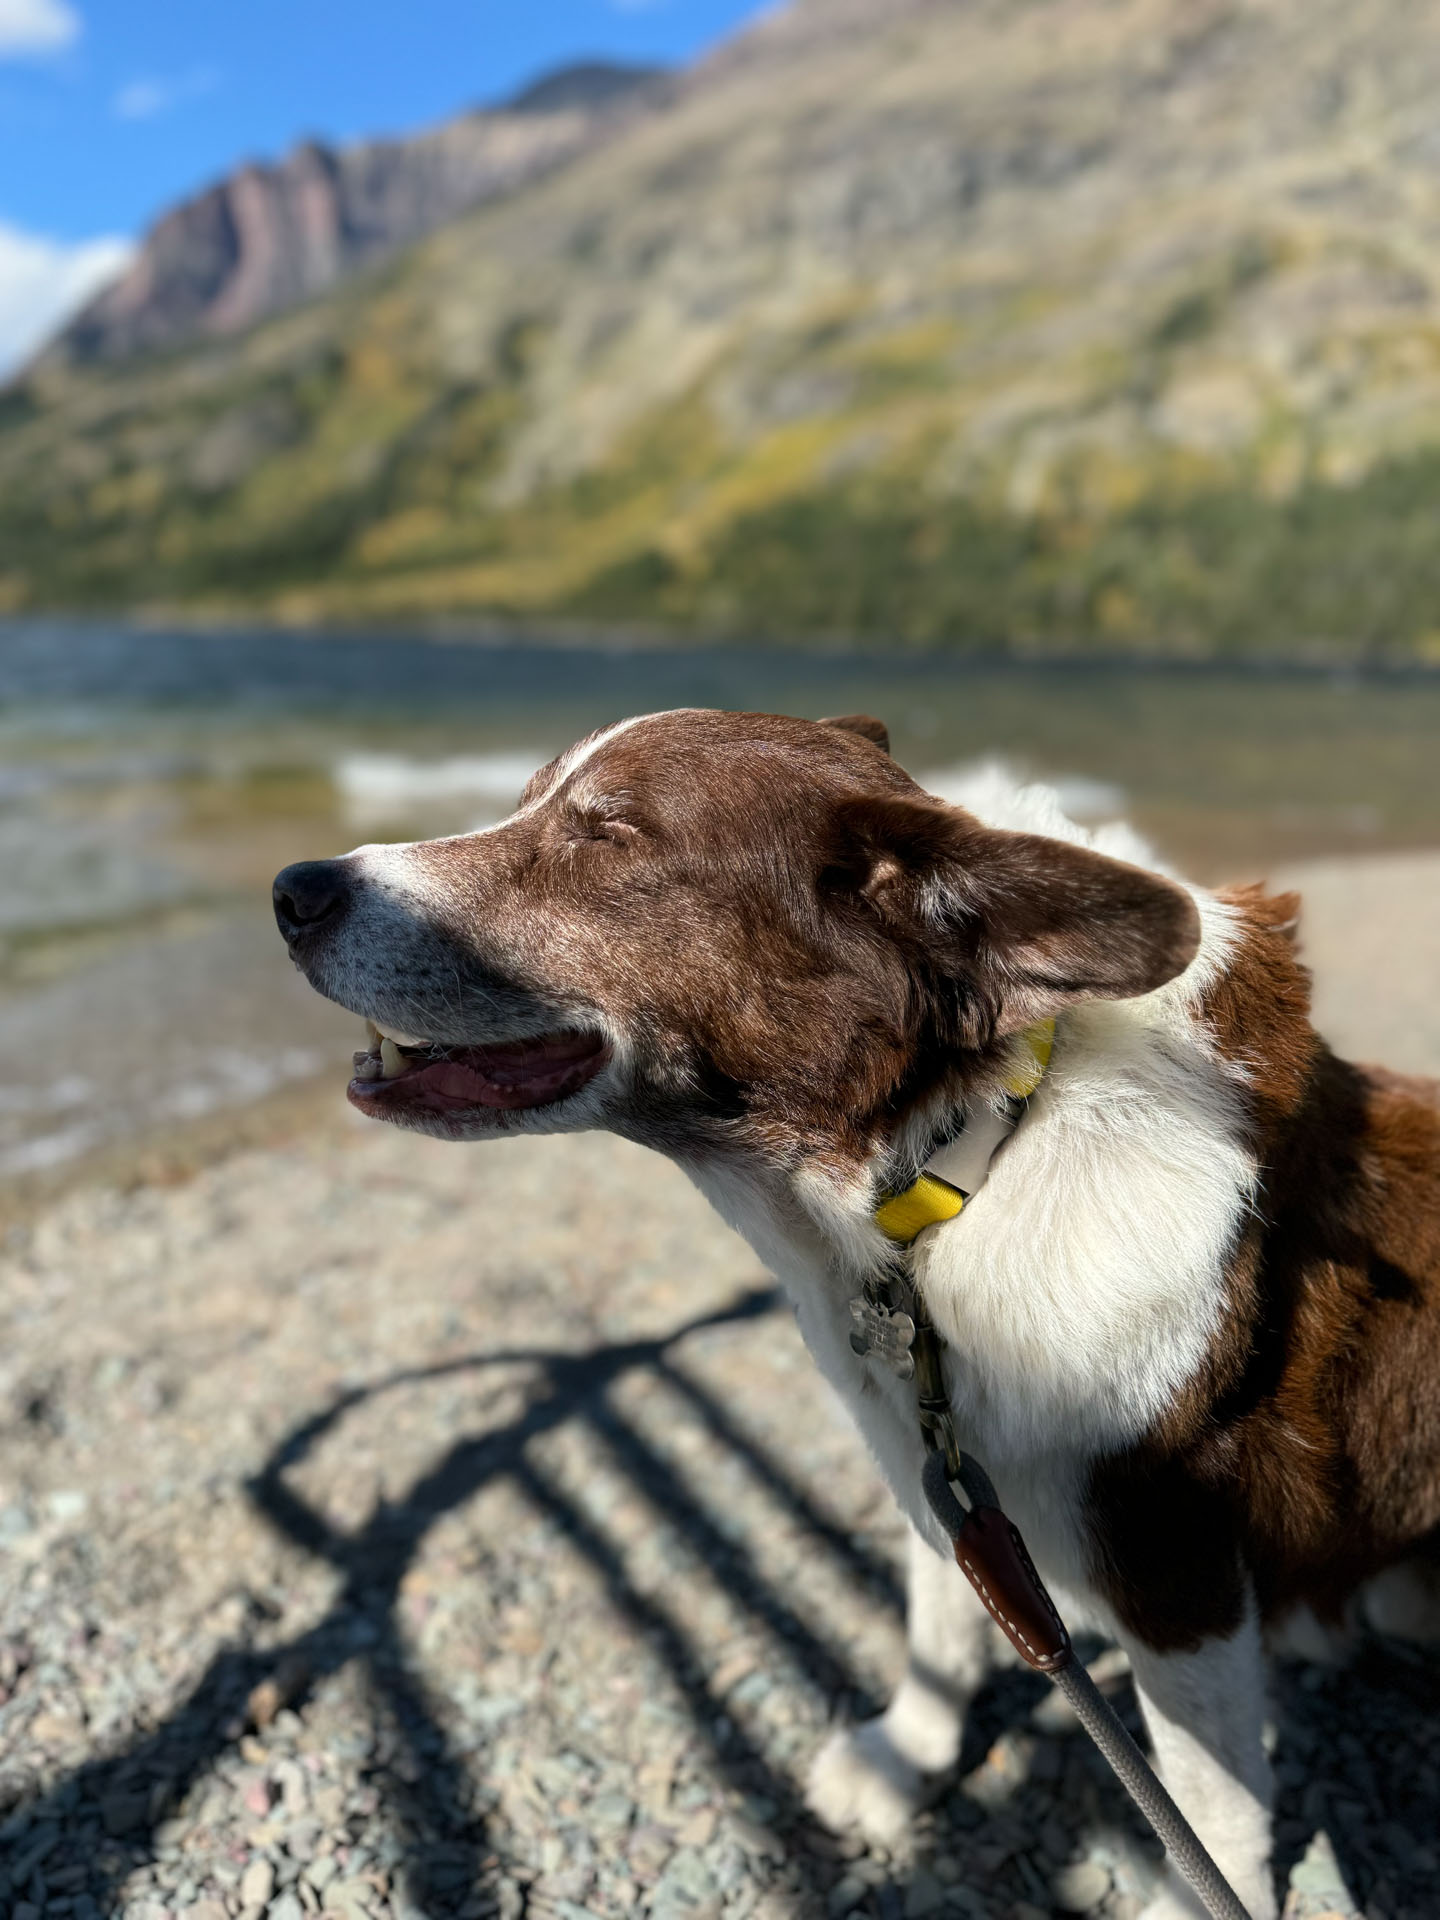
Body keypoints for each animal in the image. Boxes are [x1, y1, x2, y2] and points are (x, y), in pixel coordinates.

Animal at [270, 710, 1440, 1920]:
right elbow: (943, 1620)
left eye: (609, 837)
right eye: (527, 804)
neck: (960, 1156)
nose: (292, 890)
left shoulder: (1172, 1563)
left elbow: (1215, 1801)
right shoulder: (945, 1453)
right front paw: (906, 1755)